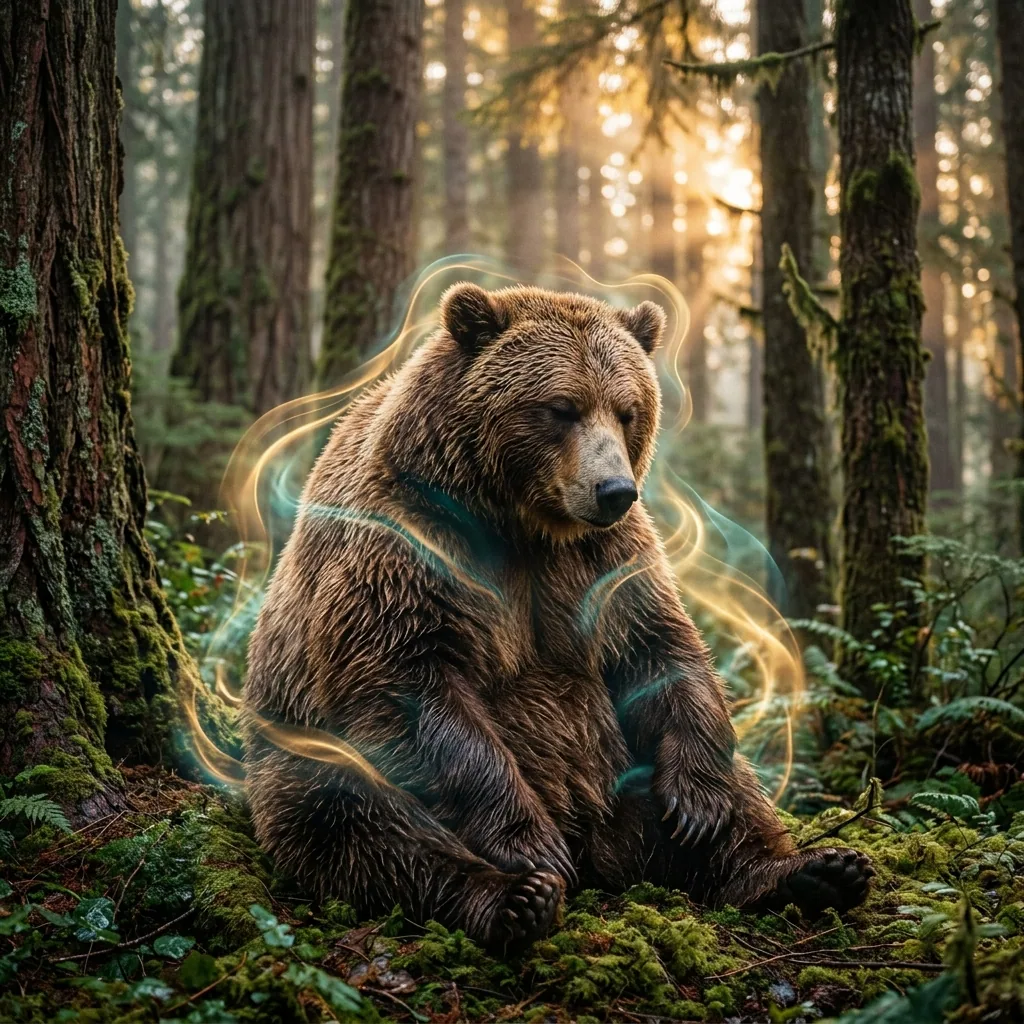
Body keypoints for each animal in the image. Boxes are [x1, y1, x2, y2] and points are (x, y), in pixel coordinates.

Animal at [242, 283, 873, 950]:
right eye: (562, 407)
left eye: (627, 410)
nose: (614, 489)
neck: (520, 521)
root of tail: (599, 846)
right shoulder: (408, 545)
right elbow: (411, 680)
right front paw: (529, 844)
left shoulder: (605, 560)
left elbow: (659, 646)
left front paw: (699, 804)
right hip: (300, 755)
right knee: (360, 825)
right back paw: (514, 898)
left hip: (624, 773)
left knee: (738, 782)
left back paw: (808, 870)